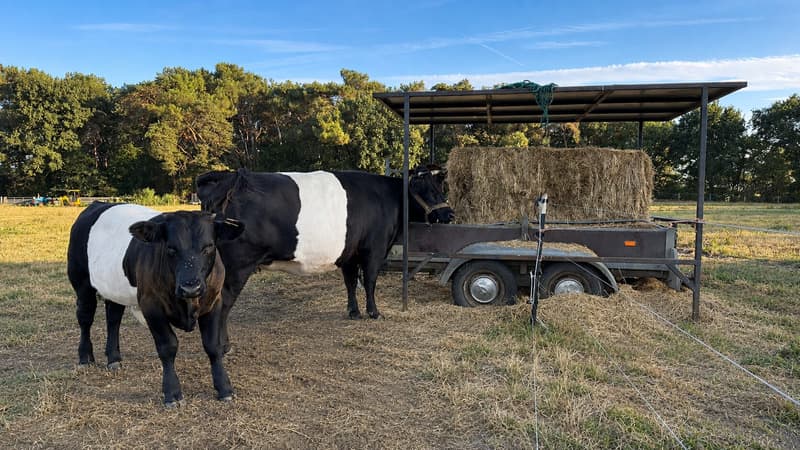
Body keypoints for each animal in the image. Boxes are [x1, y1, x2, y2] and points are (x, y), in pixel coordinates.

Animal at [67, 202, 244, 407]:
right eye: (171, 248)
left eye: (209, 247)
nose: (190, 287)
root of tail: (99, 204)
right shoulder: (152, 306)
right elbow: (168, 346)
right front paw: (172, 393)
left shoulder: (214, 301)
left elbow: (213, 345)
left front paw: (224, 388)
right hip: (81, 282)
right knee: (85, 318)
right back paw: (85, 357)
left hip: (115, 288)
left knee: (113, 319)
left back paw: (114, 359)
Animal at [196, 167, 454, 352]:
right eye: (428, 191)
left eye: (442, 188)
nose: (450, 214)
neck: (390, 198)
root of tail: (230, 178)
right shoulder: (374, 249)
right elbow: (370, 282)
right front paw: (374, 313)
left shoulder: (349, 254)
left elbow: (350, 283)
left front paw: (353, 312)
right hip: (236, 265)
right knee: (223, 303)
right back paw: (223, 346)